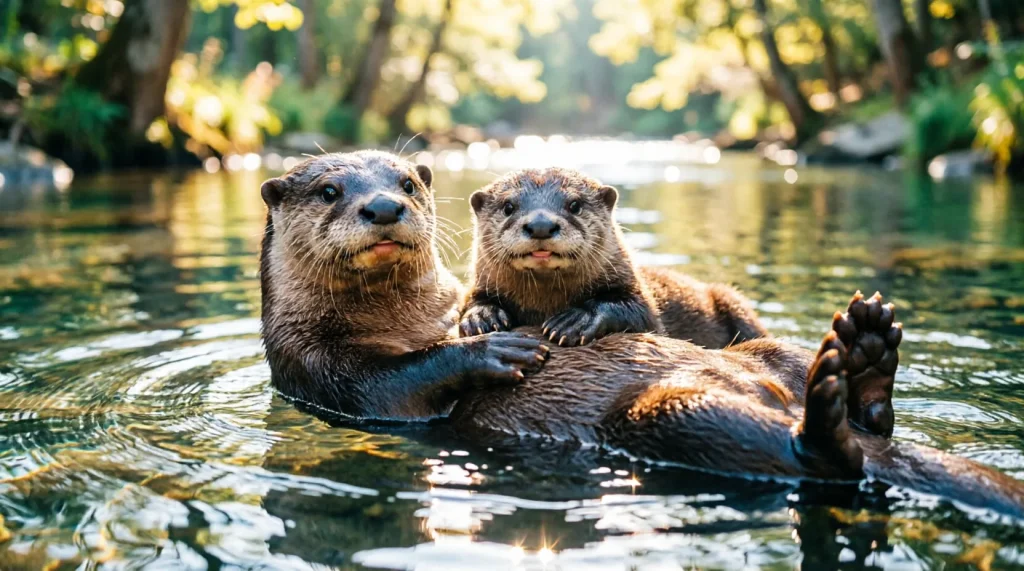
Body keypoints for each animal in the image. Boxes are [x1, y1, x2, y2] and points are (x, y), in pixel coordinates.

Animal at [460, 168, 767, 349]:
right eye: (508, 206)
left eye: (574, 204)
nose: (540, 225)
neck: (545, 304)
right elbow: (473, 302)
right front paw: (482, 316)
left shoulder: (643, 301)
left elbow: (639, 313)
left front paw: (577, 320)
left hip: (732, 301)